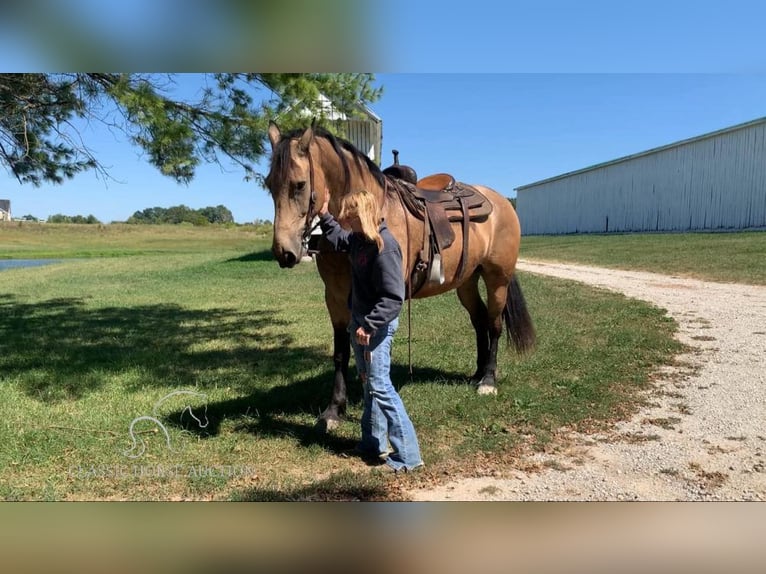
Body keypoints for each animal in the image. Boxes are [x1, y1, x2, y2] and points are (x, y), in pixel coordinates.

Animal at [264, 124, 536, 434]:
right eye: (269, 184)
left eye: (299, 185)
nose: (284, 252)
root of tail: (501, 202)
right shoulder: (335, 297)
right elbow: (341, 353)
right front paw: (334, 410)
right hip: (466, 282)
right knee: (479, 321)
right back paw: (477, 374)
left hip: (497, 279)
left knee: (494, 324)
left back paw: (488, 380)